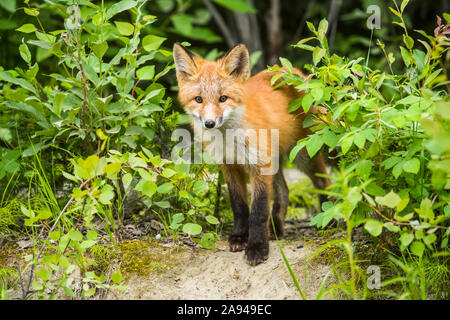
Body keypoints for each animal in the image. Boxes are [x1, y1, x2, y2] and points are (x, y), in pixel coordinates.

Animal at [172, 43, 330, 266]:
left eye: (223, 98)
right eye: (198, 99)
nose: (209, 123)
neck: (230, 140)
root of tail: (292, 72)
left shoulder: (259, 165)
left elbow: (258, 211)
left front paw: (256, 247)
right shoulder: (229, 166)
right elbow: (239, 206)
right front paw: (239, 237)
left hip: (303, 156)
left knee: (324, 182)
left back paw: (329, 218)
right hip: (277, 162)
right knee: (284, 191)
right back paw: (276, 229)